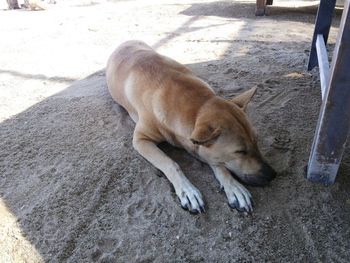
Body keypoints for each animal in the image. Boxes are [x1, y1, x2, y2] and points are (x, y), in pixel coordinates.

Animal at [105, 40, 274, 214]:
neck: (197, 105)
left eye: (256, 141)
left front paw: (233, 186)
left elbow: (218, 162)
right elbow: (170, 163)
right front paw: (187, 190)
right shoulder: (141, 140)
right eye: (240, 152)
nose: (272, 175)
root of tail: (126, 42)